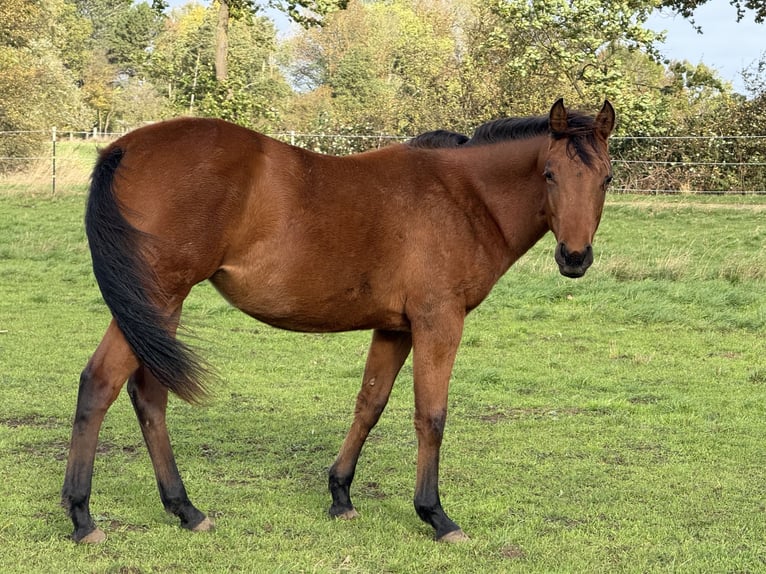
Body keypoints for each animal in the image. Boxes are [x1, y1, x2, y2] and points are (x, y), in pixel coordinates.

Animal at [62, 98, 615, 544]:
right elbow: (431, 416)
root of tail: (122, 148)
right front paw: (435, 515)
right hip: (158, 298)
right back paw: (83, 517)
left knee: (148, 395)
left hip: (158, 308)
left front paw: (341, 495)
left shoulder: (395, 327)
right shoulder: (438, 322)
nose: (575, 258)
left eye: (606, 178)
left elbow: (369, 404)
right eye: (549, 174)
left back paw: (185, 509)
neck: (462, 196)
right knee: (101, 383)